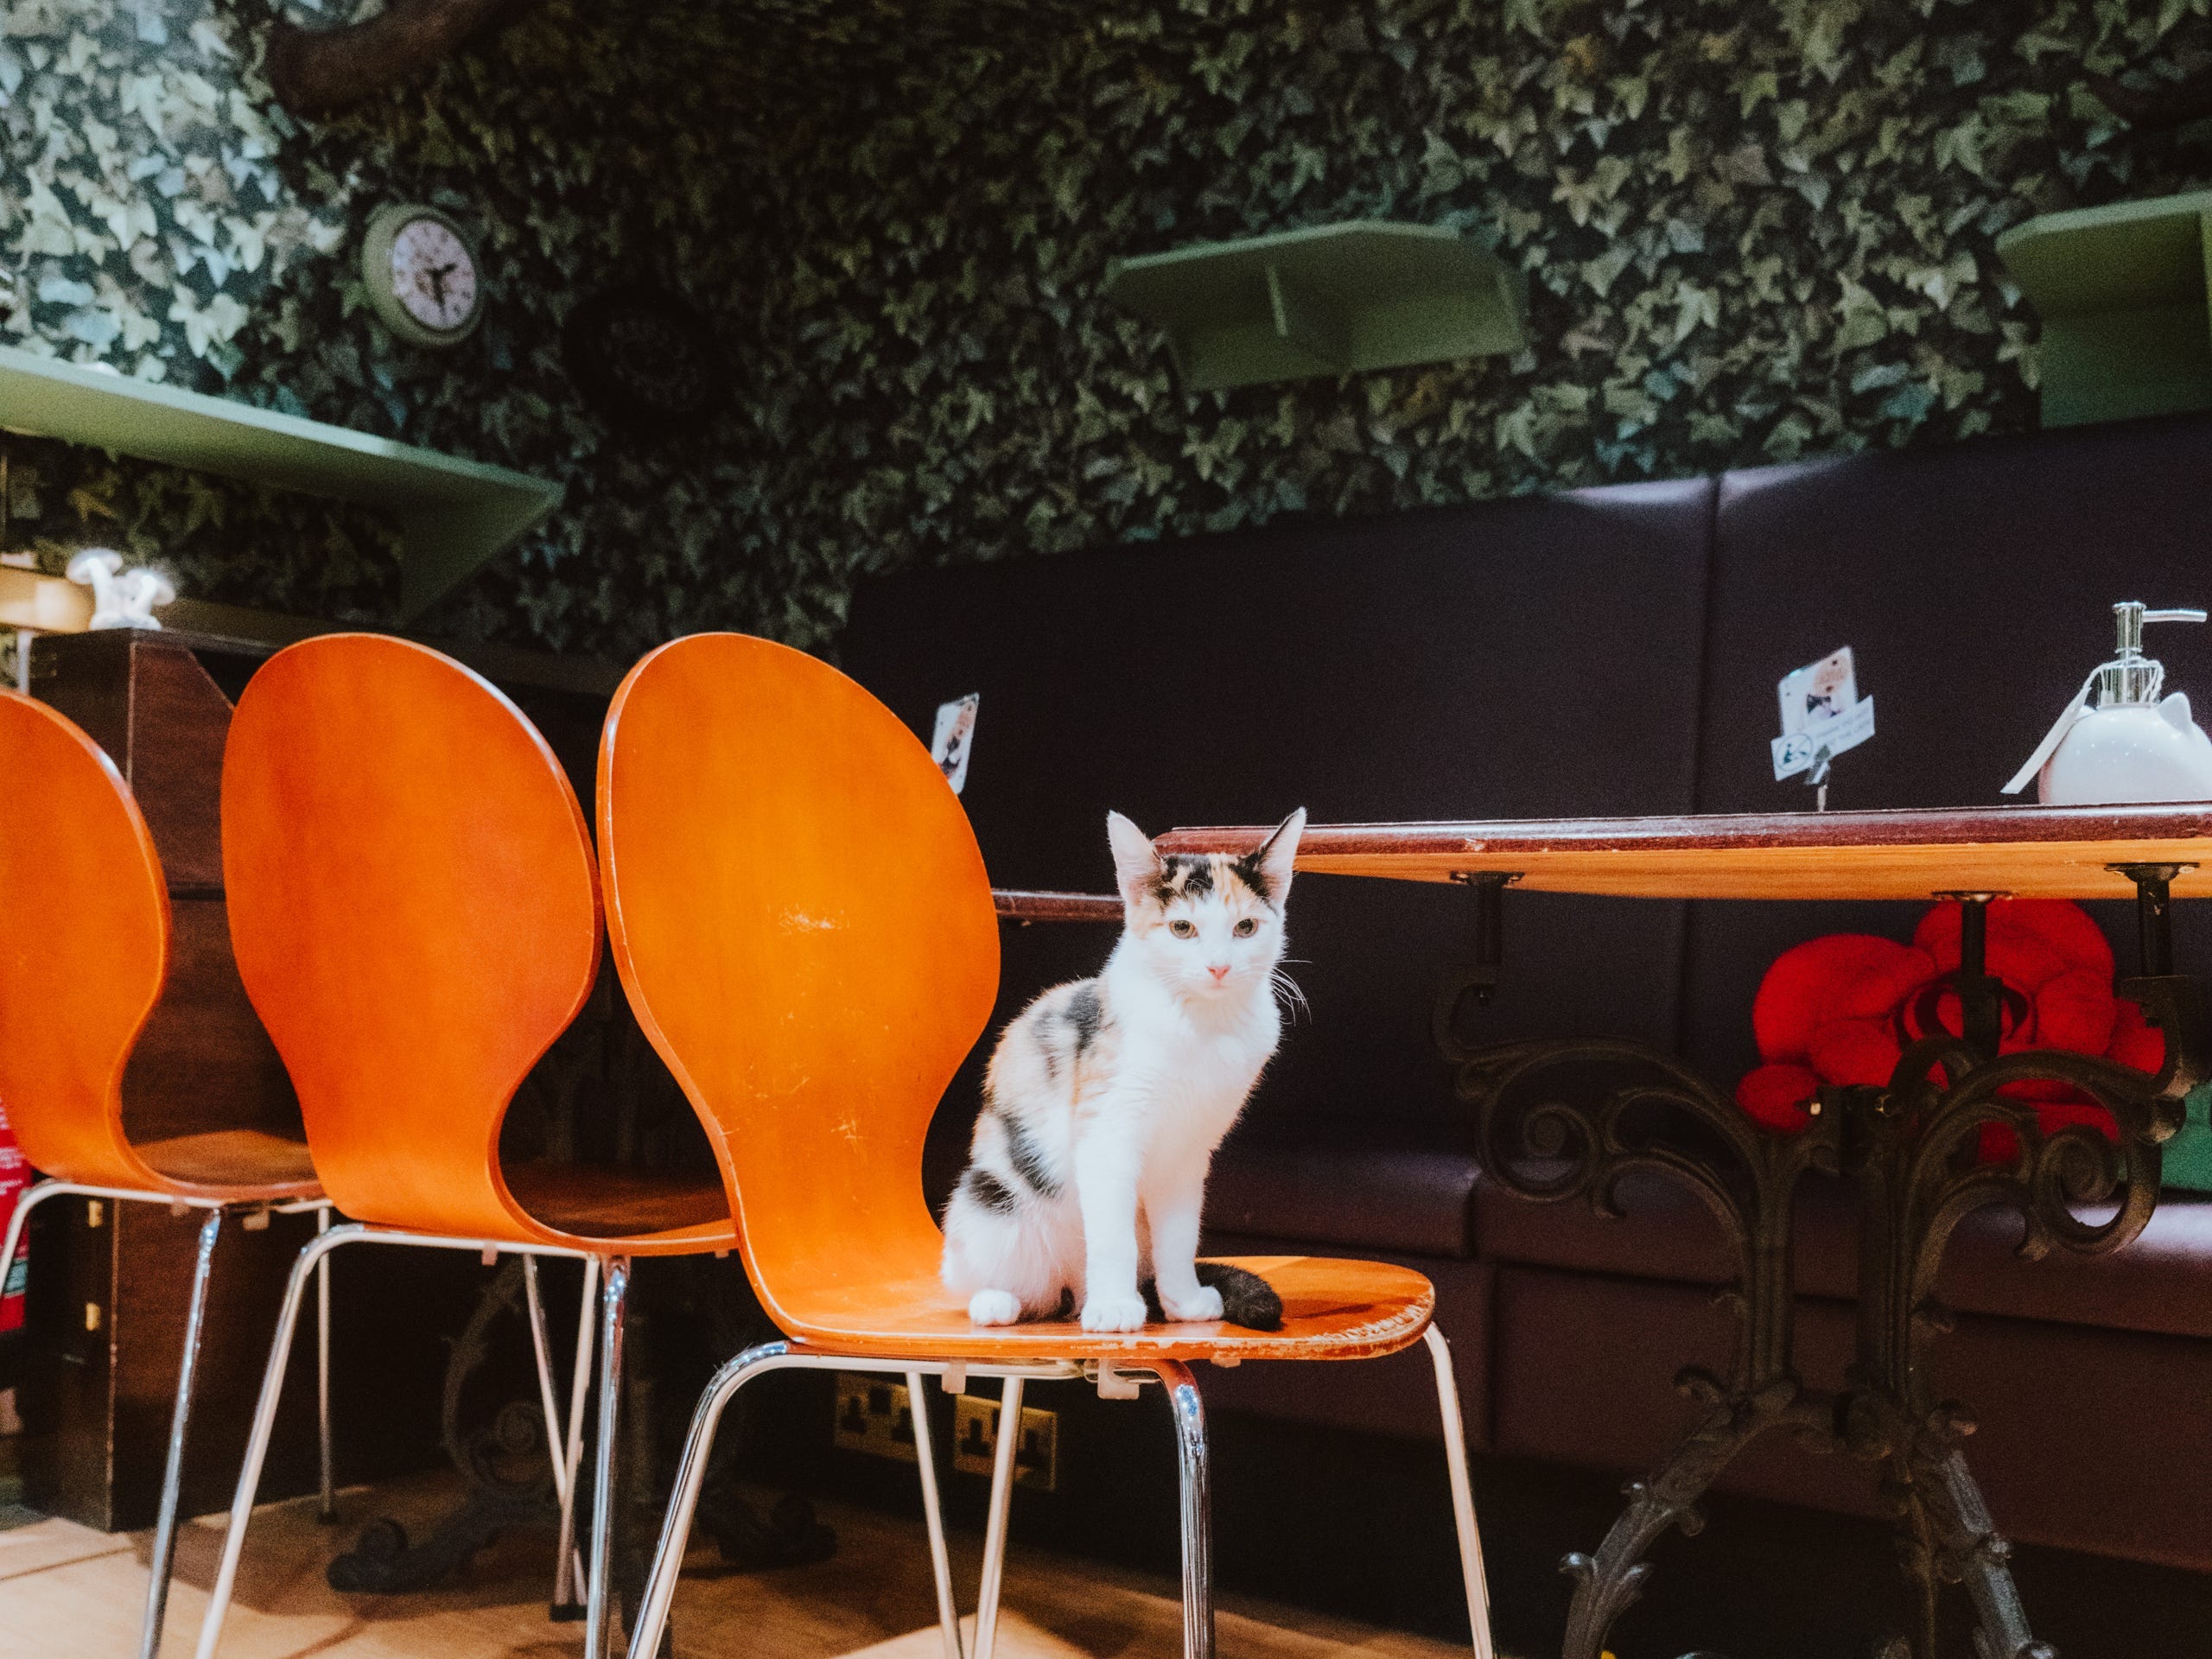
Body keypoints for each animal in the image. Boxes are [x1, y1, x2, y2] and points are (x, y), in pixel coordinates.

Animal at [942, 809, 1300, 1336]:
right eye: (1182, 928)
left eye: (1246, 927)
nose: (1218, 967)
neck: (1202, 1027)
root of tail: (1070, 1291)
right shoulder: (1106, 1134)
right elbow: (1112, 1237)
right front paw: (1114, 1308)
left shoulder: (1187, 1153)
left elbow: (1180, 1236)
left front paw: (1184, 1303)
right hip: (988, 1198)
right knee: (984, 1279)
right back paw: (1001, 1301)